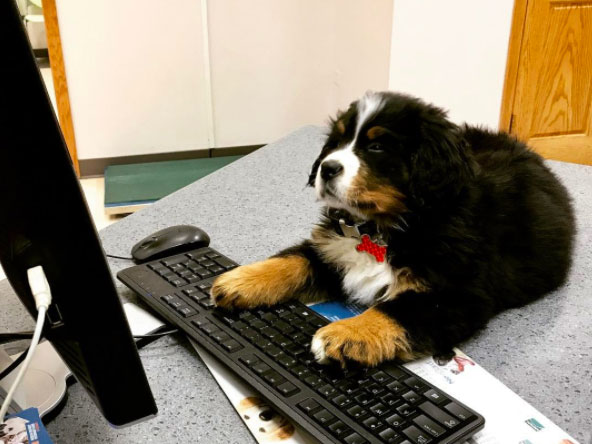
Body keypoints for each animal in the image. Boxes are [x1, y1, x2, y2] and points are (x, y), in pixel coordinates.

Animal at [210, 91, 576, 368]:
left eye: (376, 147)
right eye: (337, 141)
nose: (327, 168)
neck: (379, 229)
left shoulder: (459, 293)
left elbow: (397, 310)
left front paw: (346, 334)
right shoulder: (331, 250)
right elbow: (294, 260)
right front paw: (240, 280)